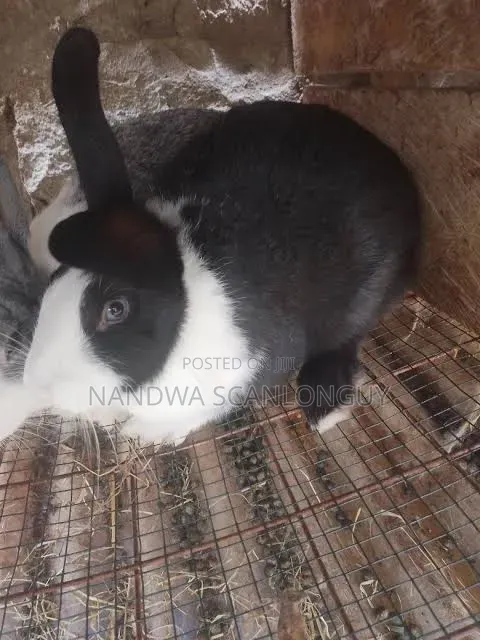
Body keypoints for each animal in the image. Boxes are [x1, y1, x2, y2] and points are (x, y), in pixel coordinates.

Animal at [18, 26, 422, 446]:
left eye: (115, 310)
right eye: (53, 279)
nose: (39, 384)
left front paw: (147, 433)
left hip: (368, 291)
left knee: (348, 335)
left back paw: (326, 407)